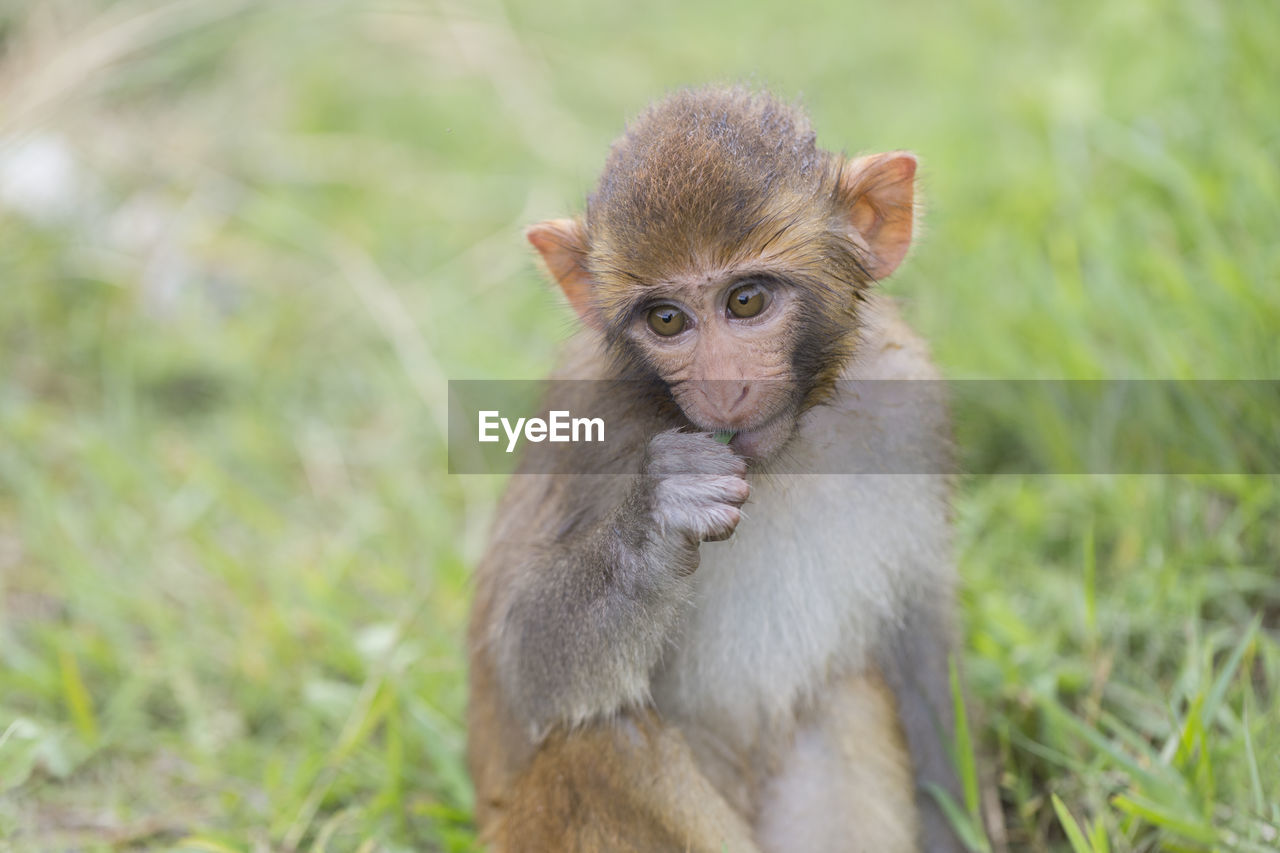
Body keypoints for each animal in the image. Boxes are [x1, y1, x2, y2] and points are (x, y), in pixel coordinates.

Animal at [468, 86, 962, 850]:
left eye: (746, 300)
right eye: (666, 319)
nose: (724, 389)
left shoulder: (911, 405)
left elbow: (920, 648)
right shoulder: (585, 427)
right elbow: (523, 664)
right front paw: (657, 520)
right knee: (599, 741)